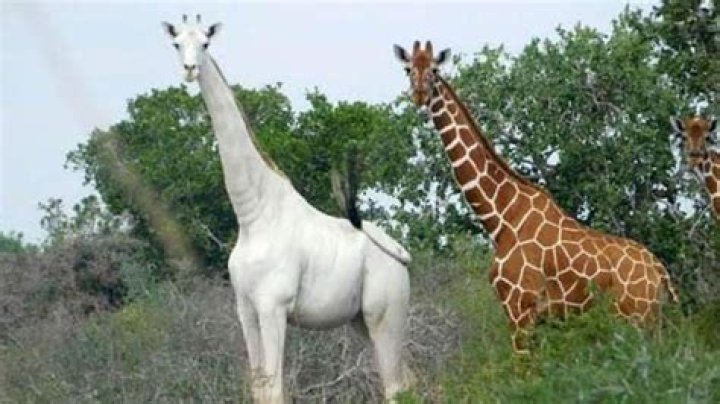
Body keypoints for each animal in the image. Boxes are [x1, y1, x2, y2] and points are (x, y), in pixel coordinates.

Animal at [162, 16, 412, 403]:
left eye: (205, 43)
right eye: (176, 44)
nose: (189, 70)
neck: (253, 216)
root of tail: (402, 255)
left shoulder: (273, 306)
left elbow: (276, 389)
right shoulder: (245, 310)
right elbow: (259, 387)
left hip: (384, 315)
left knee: (396, 386)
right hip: (360, 320)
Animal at [394, 41, 679, 353]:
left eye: (434, 70)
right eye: (408, 69)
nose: (420, 94)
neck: (501, 217)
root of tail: (661, 273)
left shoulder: (520, 308)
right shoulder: (538, 317)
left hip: (638, 320)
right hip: (651, 322)